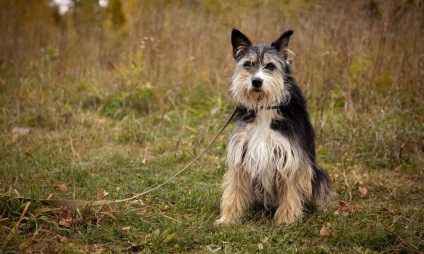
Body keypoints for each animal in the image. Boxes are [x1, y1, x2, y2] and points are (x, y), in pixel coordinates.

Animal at [217, 28, 332, 225]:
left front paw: (285, 220)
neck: (265, 107)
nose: (256, 81)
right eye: (248, 64)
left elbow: (290, 192)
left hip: (318, 174)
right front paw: (228, 219)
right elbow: (234, 190)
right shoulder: (241, 154)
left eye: (270, 66)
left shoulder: (291, 157)